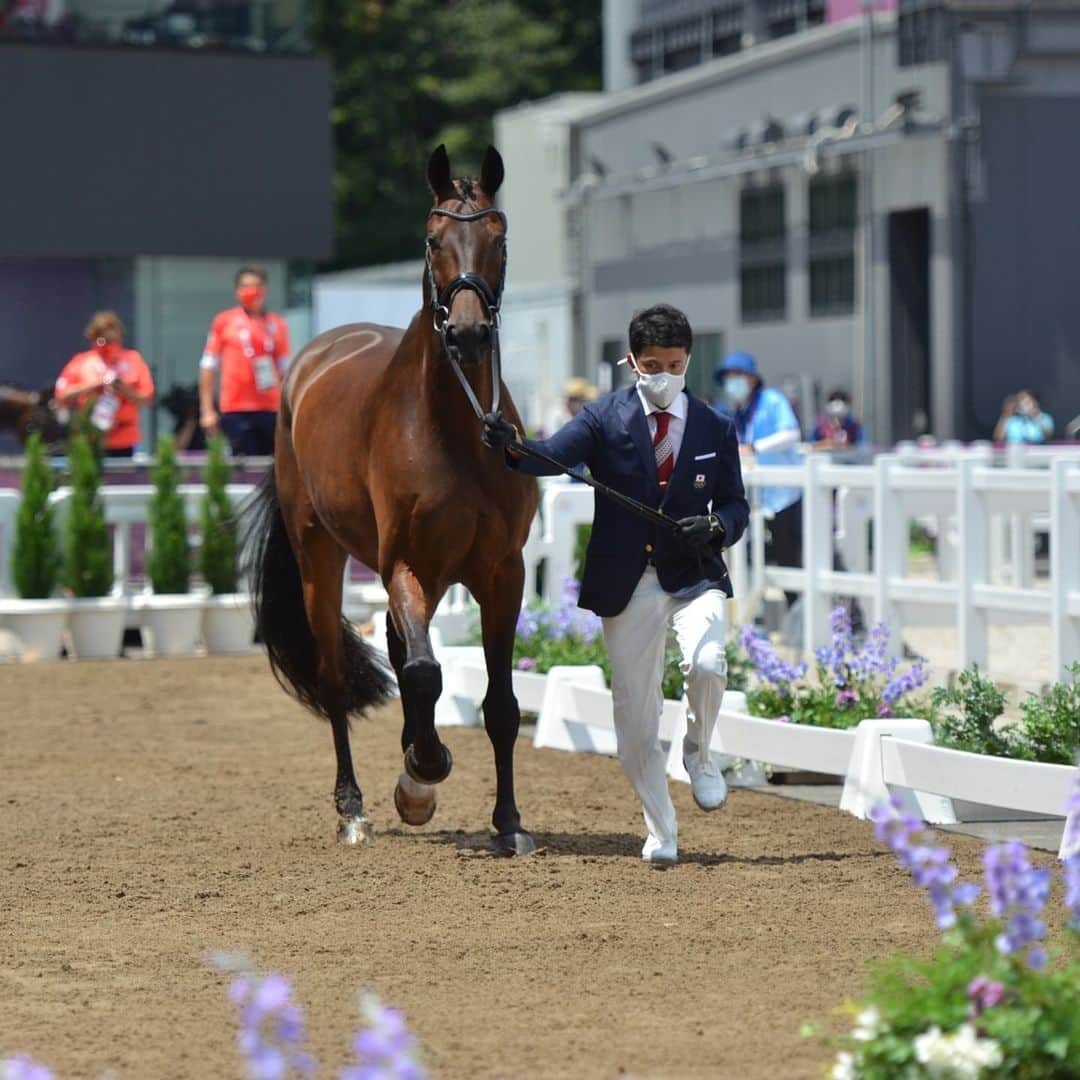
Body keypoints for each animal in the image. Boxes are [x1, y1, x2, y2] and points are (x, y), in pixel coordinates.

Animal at [245, 145, 541, 855]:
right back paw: (353, 809)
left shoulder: (503, 573)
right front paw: (422, 776)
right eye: (433, 240)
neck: (460, 430)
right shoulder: (406, 564)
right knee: (335, 675)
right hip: (320, 559)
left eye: (500, 238)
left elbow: (499, 703)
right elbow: (426, 673)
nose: (468, 334)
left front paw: (509, 823)